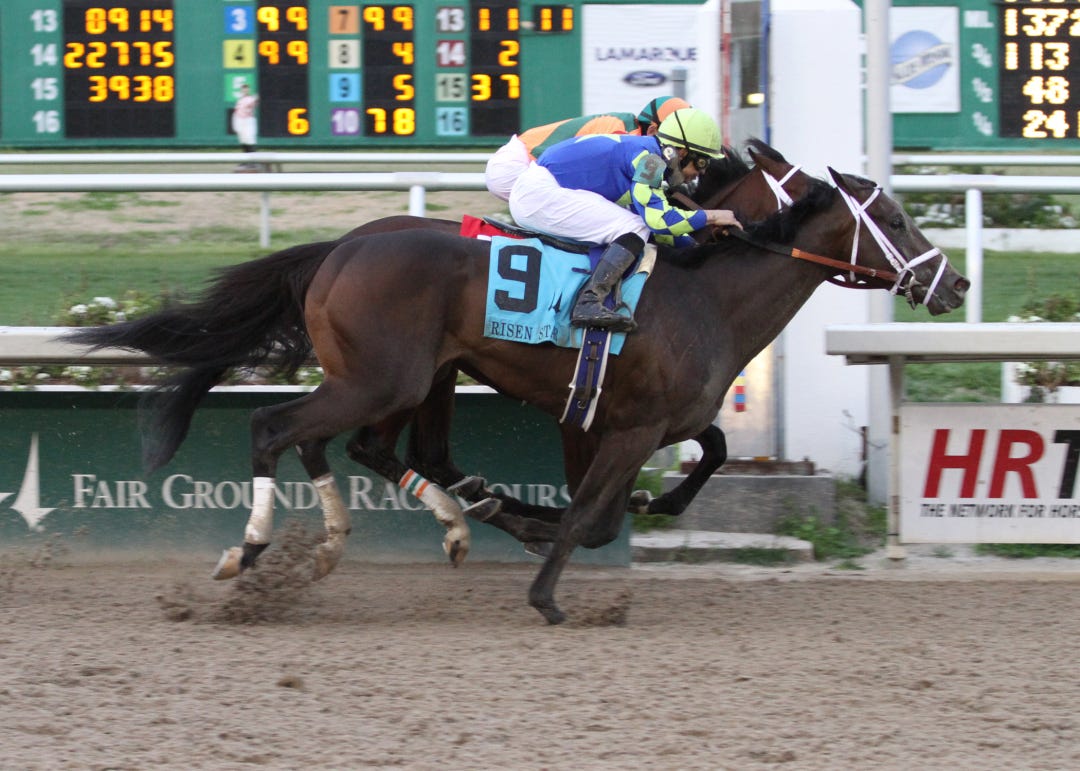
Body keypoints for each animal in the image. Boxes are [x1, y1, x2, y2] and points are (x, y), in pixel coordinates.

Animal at [66, 153, 968, 624]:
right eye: (894, 218)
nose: (953, 283)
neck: (703, 291)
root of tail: (339, 251)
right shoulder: (618, 427)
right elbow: (592, 516)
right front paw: (547, 585)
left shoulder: (651, 417)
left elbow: (701, 456)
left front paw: (585, 515)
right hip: (383, 376)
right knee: (278, 427)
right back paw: (252, 549)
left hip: (409, 378)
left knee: (355, 444)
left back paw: (370, 536)